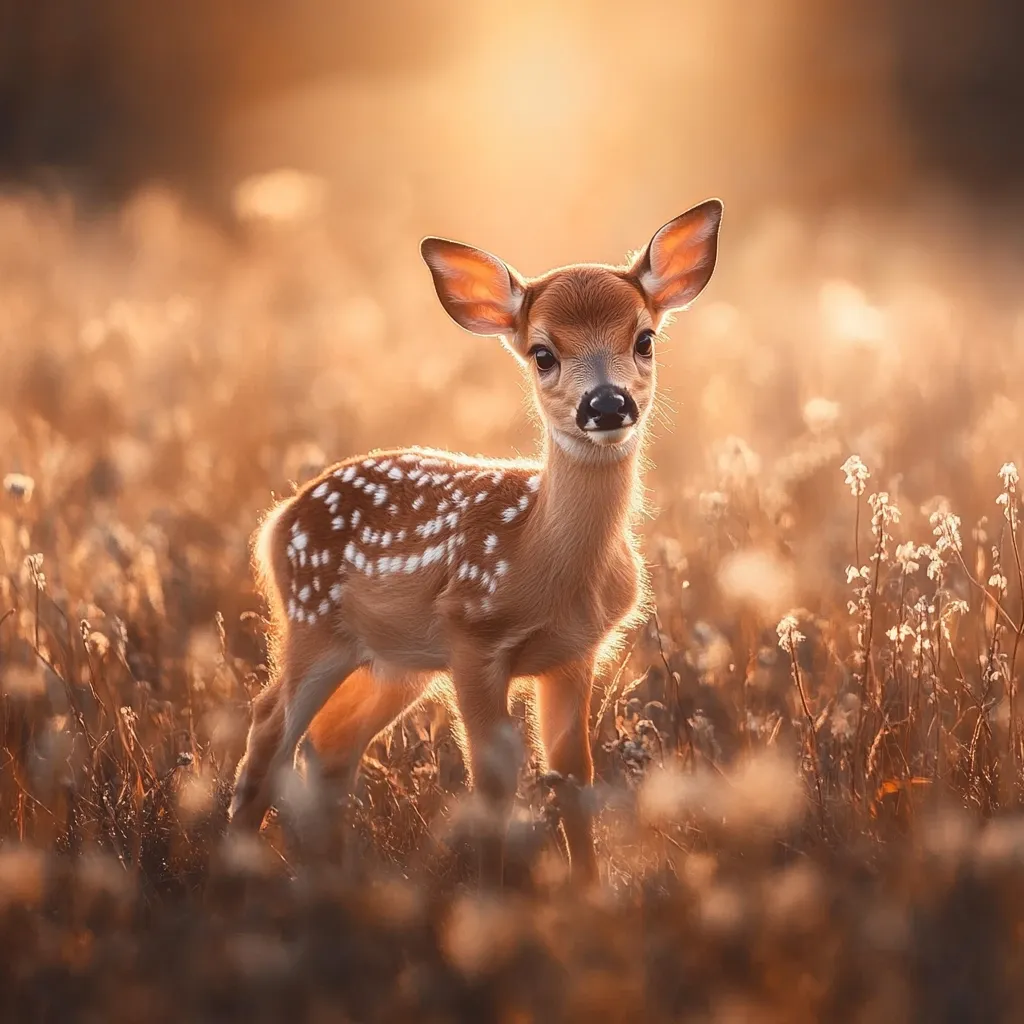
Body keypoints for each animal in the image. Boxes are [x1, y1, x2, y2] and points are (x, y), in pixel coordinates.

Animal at [229, 199, 724, 885]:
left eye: (644, 339)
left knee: (330, 744)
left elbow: (574, 777)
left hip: (394, 661)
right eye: (542, 353)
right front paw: (493, 897)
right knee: (270, 726)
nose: (606, 403)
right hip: (313, 623)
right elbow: (490, 784)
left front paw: (589, 892)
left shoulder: (574, 654)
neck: (541, 558)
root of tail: (278, 520)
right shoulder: (472, 638)